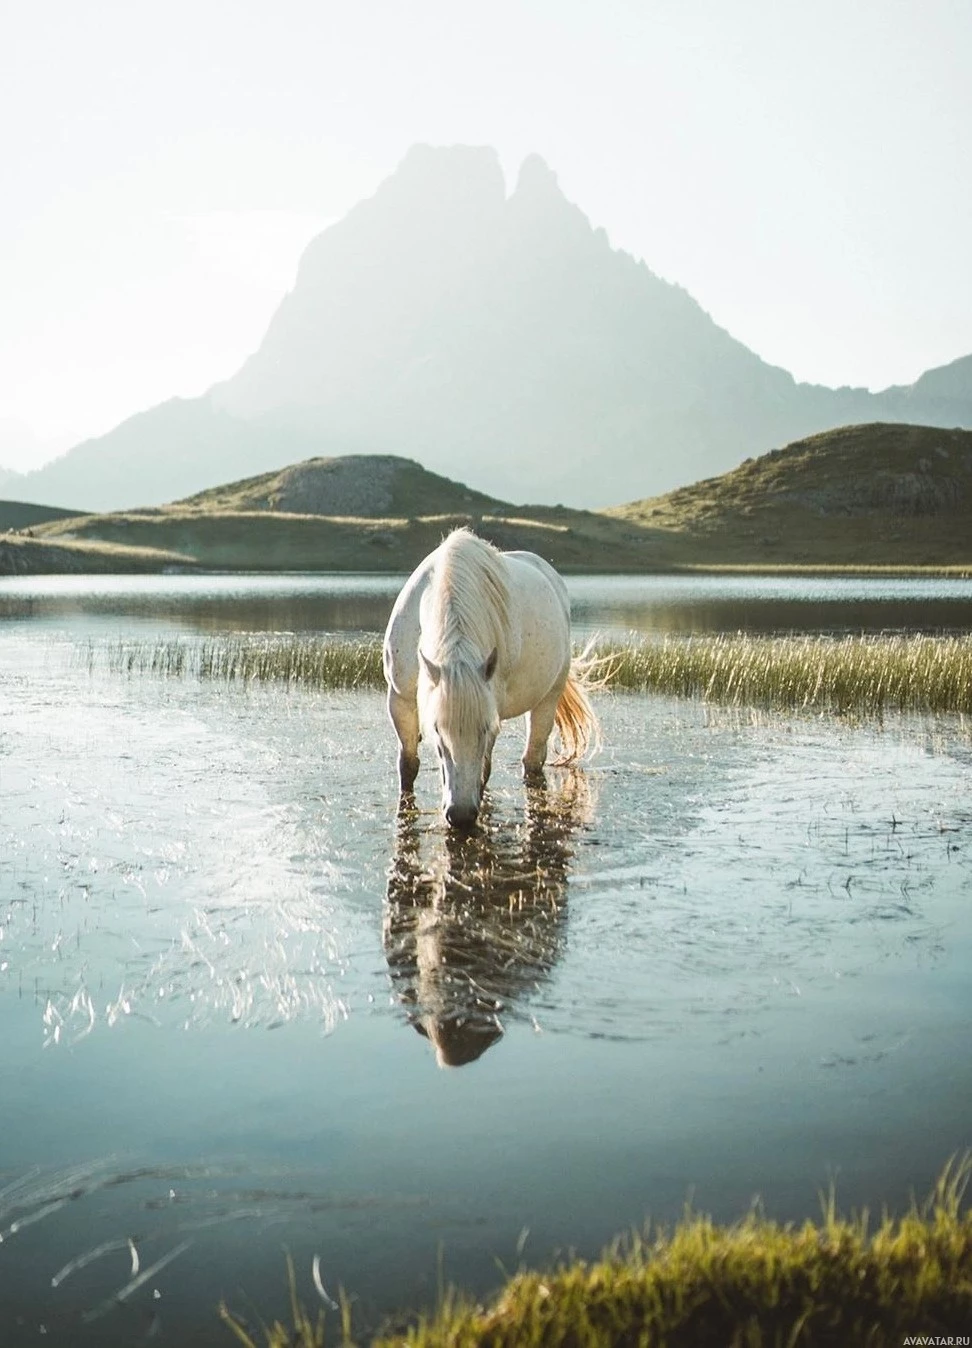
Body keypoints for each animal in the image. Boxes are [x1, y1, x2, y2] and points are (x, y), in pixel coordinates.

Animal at [380, 528, 598, 824]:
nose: (460, 815)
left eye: (484, 729)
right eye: (437, 729)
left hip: (548, 698)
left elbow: (483, 769)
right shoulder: (400, 700)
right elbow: (408, 765)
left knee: (532, 759)